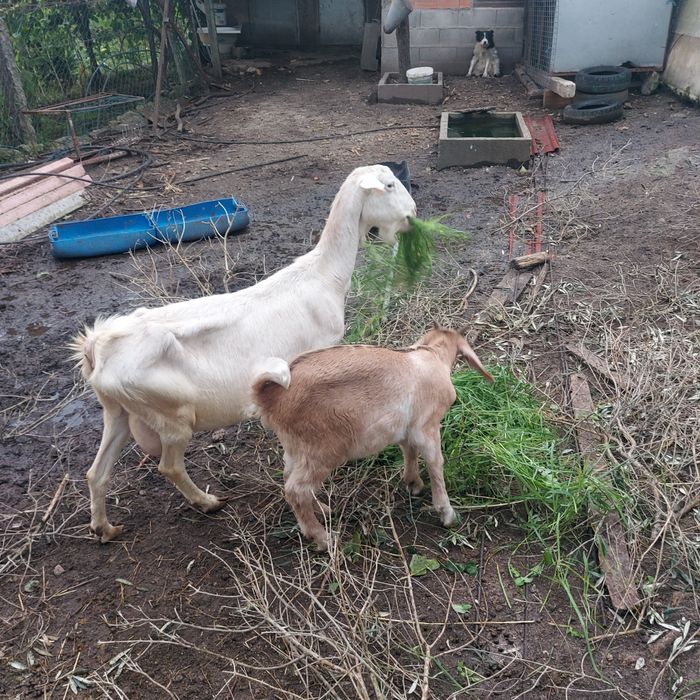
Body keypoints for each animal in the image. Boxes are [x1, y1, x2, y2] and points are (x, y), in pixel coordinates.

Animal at [71, 165, 416, 542]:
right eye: (389, 185)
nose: (412, 215)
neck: (324, 277)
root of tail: (96, 346)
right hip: (172, 416)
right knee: (169, 465)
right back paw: (208, 502)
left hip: (118, 411)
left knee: (96, 472)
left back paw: (104, 527)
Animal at [251, 326, 494, 550]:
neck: (432, 355)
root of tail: (269, 397)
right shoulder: (427, 426)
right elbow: (436, 464)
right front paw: (447, 514)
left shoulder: (405, 428)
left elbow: (409, 451)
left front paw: (413, 483)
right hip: (322, 449)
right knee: (296, 490)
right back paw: (323, 538)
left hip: (296, 448)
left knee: (289, 477)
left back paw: (323, 510)